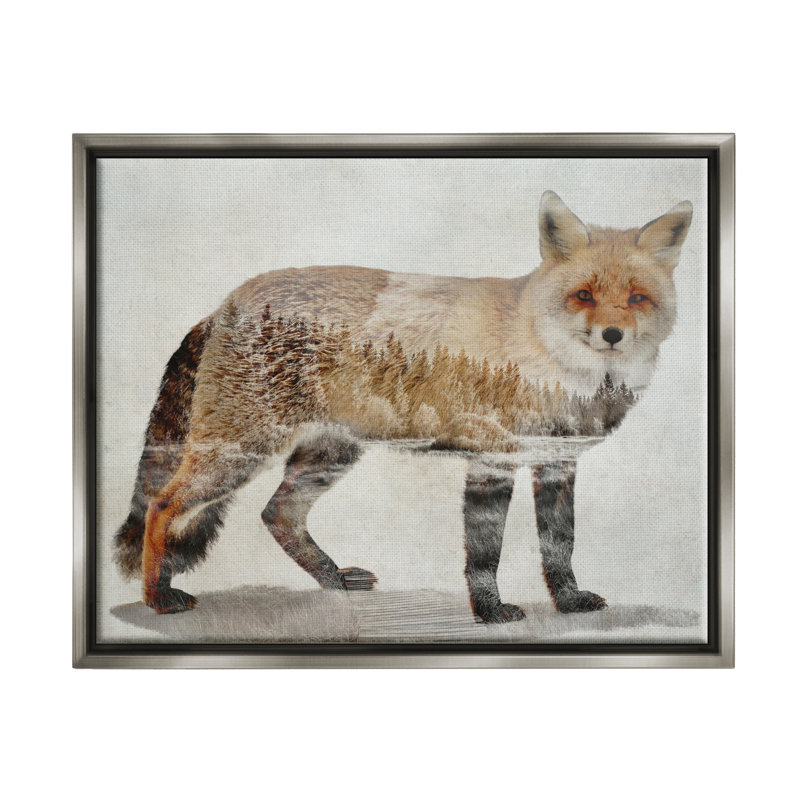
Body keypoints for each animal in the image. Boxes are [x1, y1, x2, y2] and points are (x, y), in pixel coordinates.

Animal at [115, 190, 692, 623]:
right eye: (584, 295)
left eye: (637, 298)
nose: (612, 335)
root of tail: (225, 303)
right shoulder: (492, 460)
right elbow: (484, 553)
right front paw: (489, 612)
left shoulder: (557, 462)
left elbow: (560, 545)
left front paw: (568, 602)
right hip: (240, 452)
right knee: (163, 505)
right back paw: (156, 597)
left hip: (328, 455)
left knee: (277, 514)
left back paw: (332, 579)